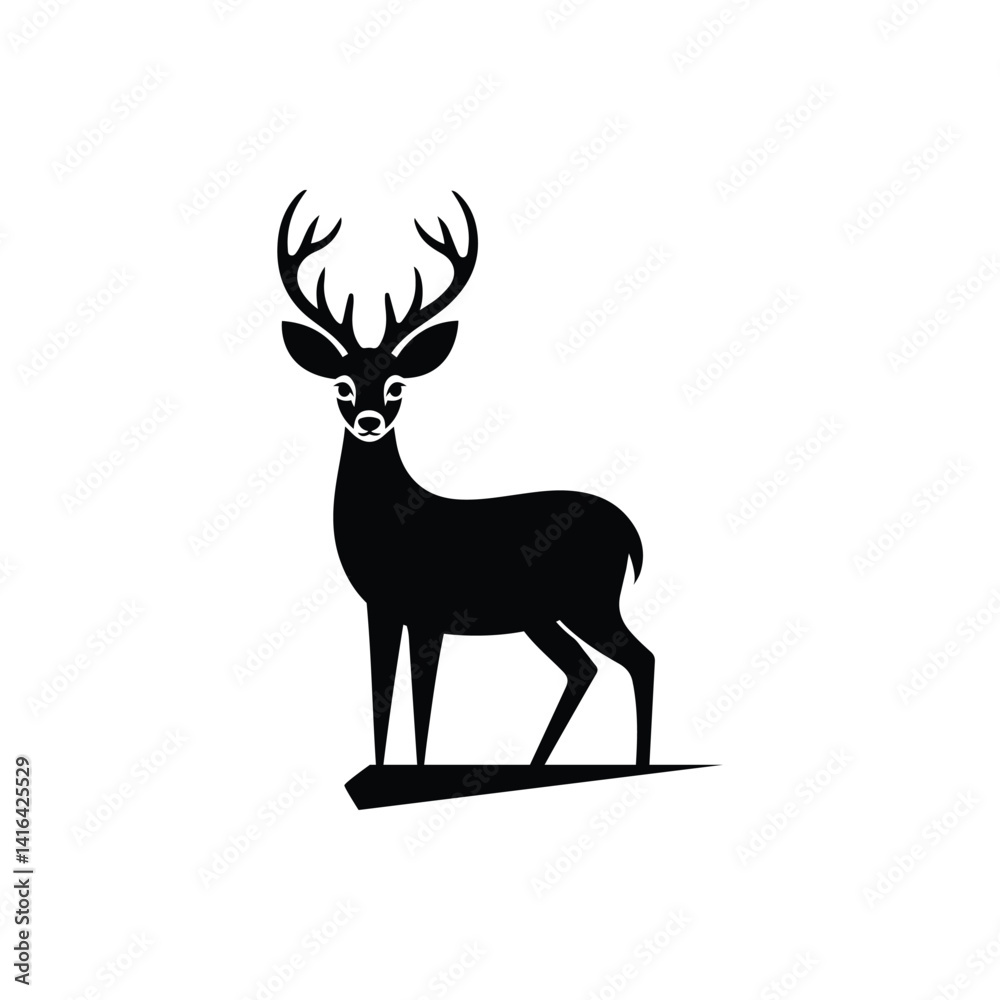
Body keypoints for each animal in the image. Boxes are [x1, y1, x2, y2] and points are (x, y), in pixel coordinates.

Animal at [277, 190, 655, 767]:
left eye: (396, 385)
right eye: (341, 384)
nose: (369, 421)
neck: (390, 518)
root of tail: (630, 532)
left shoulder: (427, 609)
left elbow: (421, 702)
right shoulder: (381, 608)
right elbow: (382, 696)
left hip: (587, 599)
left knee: (639, 659)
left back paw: (635, 764)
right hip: (544, 614)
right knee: (584, 666)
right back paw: (536, 765)